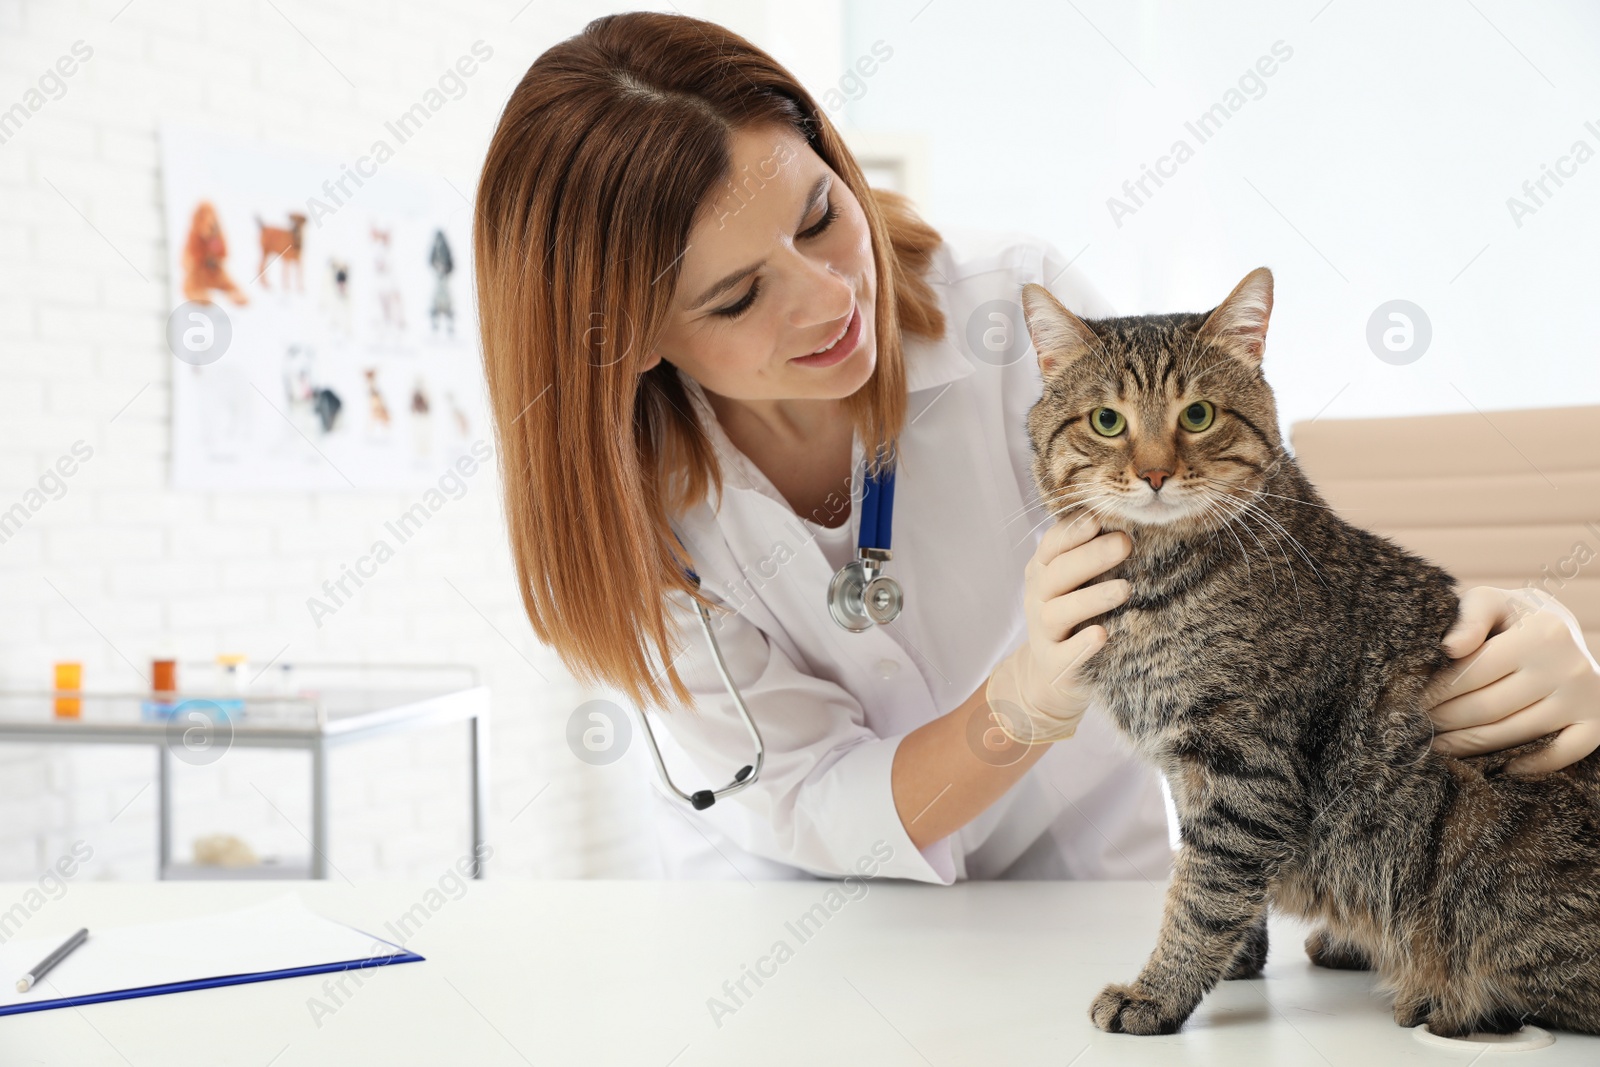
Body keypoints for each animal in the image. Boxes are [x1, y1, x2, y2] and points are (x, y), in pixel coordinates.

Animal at [1017, 271, 1600, 1036]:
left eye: (1197, 414)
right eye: (1107, 422)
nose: (1154, 473)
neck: (1152, 579)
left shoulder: (1244, 762)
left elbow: (1203, 890)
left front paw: (1161, 990)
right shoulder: (1191, 765)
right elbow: (1216, 880)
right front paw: (1237, 959)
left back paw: (1447, 998)